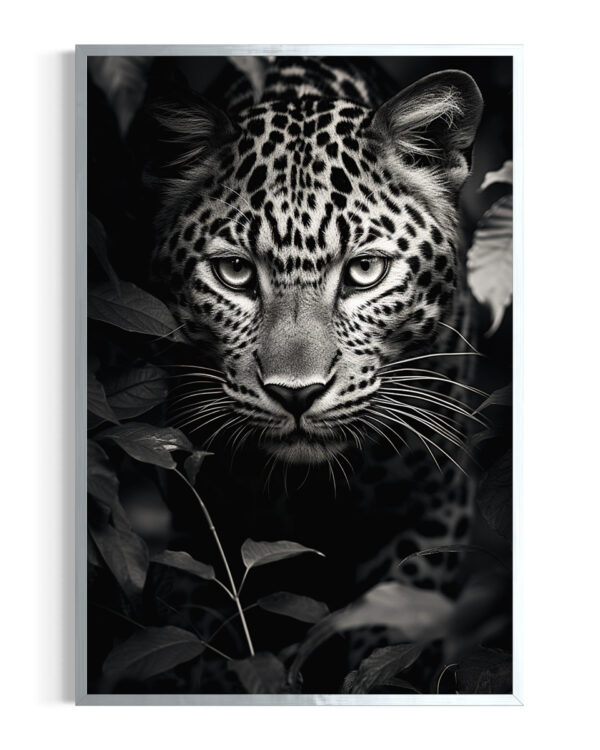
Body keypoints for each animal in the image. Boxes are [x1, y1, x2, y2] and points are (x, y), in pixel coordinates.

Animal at [148, 56, 485, 678]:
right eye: (235, 272)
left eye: (365, 271)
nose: (296, 394)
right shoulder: (201, 519)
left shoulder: (434, 504)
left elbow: (394, 630)